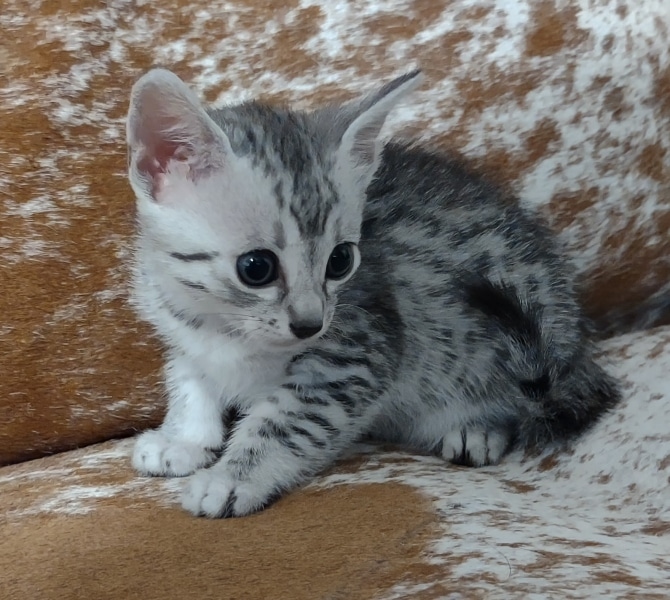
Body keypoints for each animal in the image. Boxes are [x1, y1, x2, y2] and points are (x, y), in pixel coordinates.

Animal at [126, 68, 620, 518]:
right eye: (256, 268)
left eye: (341, 260)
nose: (310, 323)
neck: (225, 325)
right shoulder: (182, 333)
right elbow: (190, 382)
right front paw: (183, 439)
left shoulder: (354, 357)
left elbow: (284, 424)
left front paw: (234, 477)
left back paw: (478, 428)